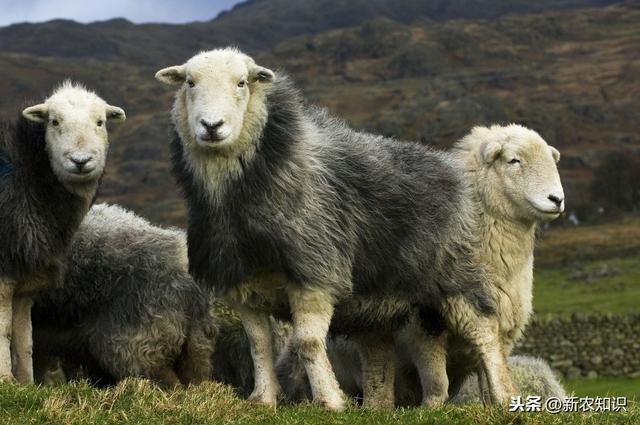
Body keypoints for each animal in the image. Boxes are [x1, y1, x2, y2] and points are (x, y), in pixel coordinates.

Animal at [0, 82, 125, 380]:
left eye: (100, 122)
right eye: (54, 122)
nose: (81, 161)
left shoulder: (26, 281)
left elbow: (24, 341)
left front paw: (25, 384)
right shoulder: (4, 271)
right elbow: (4, 332)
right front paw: (5, 379)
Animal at [152, 48, 508, 410]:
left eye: (242, 83)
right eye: (190, 82)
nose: (211, 126)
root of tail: (447, 167)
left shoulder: (315, 271)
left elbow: (307, 342)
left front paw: (330, 400)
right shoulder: (242, 280)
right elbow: (259, 345)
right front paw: (263, 399)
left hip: (454, 274)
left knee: (485, 330)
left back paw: (502, 396)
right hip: (396, 296)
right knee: (412, 347)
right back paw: (407, 404)